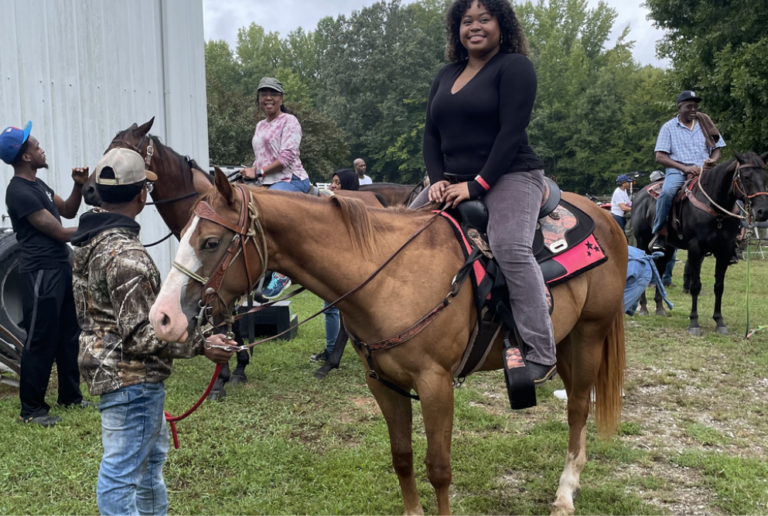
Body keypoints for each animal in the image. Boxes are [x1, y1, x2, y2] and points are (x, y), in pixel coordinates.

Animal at [149, 169, 627, 515]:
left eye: (211, 241)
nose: (162, 318)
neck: (388, 274)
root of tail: (605, 218)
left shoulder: (435, 385)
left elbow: (439, 468)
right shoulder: (383, 383)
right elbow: (402, 457)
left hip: (589, 336)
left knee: (578, 410)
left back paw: (565, 493)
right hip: (566, 341)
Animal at [631, 151, 768, 335]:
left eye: (765, 177)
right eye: (746, 177)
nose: (762, 211)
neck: (716, 212)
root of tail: (638, 196)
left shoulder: (724, 251)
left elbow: (719, 286)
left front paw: (719, 322)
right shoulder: (696, 249)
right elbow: (695, 285)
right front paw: (694, 323)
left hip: (668, 248)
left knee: (659, 270)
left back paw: (660, 308)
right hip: (642, 242)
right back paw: (644, 308)